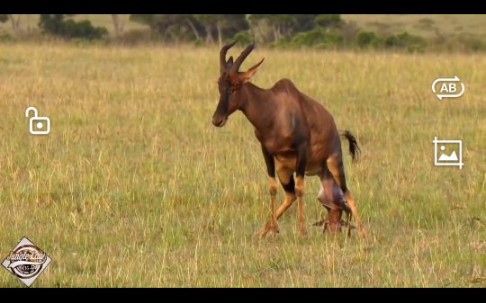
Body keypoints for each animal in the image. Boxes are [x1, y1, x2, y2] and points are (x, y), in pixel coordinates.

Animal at [212, 42, 364, 238]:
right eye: (219, 84)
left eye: (236, 85)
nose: (217, 120)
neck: (275, 109)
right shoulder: (266, 152)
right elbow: (272, 187)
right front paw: (275, 229)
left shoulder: (302, 150)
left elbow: (300, 189)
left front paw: (302, 231)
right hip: (286, 170)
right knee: (291, 195)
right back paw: (263, 231)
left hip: (333, 164)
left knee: (348, 195)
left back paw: (365, 234)